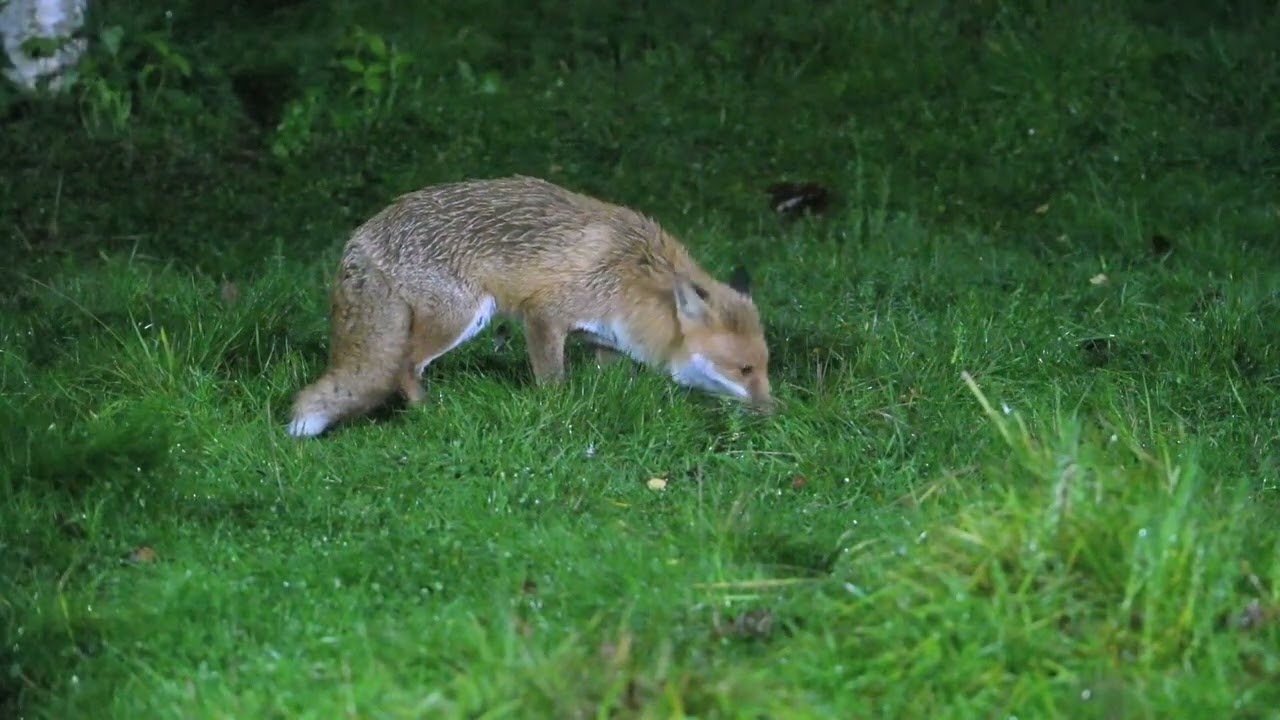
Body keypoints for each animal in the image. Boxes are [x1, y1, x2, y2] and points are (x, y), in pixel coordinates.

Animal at [287, 175, 773, 438]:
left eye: (765, 366)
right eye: (744, 370)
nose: (774, 411)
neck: (635, 277)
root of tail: (363, 233)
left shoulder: (606, 339)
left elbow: (609, 382)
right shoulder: (545, 315)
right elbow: (553, 387)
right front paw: (561, 418)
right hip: (463, 317)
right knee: (405, 366)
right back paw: (430, 412)